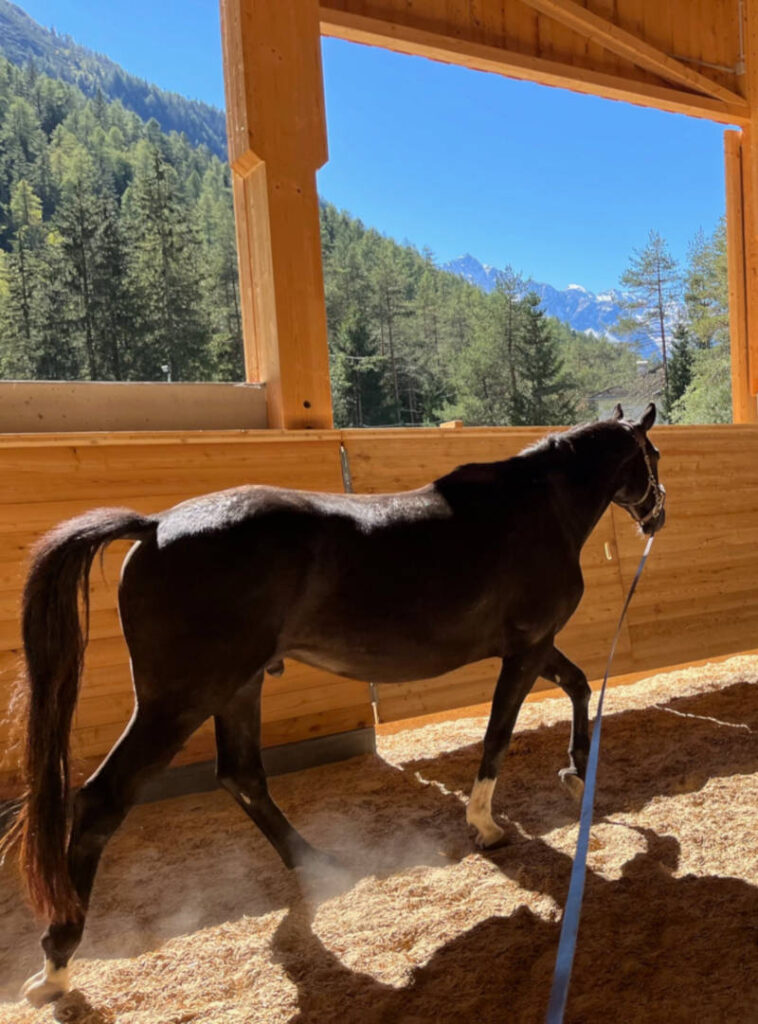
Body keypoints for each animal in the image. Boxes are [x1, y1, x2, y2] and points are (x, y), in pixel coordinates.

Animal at [0, 401, 663, 1007]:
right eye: (653, 457)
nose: (658, 513)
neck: (536, 508)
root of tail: (156, 525)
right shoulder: (527, 649)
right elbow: (500, 733)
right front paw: (486, 823)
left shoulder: (535, 648)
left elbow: (578, 685)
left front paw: (577, 772)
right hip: (180, 699)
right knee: (102, 801)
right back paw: (57, 966)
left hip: (237, 687)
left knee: (242, 775)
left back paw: (319, 865)